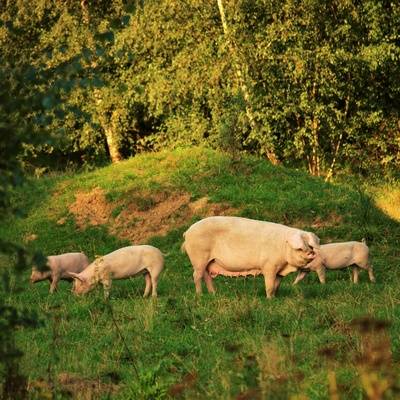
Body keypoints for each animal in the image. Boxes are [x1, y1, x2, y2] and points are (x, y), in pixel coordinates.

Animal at [180, 216, 318, 296]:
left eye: (310, 246)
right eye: (300, 248)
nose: (311, 253)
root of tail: (187, 232)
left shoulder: (279, 271)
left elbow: (276, 285)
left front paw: (275, 298)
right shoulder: (269, 266)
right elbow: (269, 286)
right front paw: (269, 299)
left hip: (208, 261)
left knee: (206, 276)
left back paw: (213, 294)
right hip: (198, 257)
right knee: (196, 276)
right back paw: (200, 296)